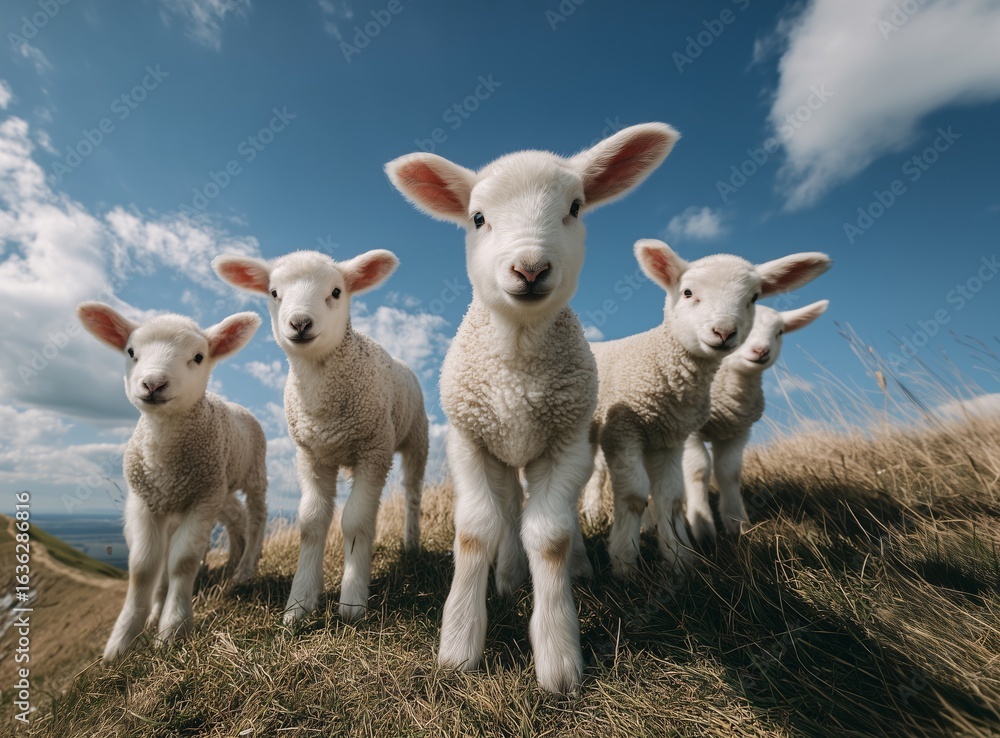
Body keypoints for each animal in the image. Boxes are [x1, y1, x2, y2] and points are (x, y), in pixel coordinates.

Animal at [76, 302, 267, 663]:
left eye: (198, 357)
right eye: (131, 352)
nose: (153, 383)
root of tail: (235, 404)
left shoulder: (201, 501)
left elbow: (181, 562)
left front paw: (172, 630)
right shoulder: (145, 502)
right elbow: (144, 567)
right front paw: (124, 639)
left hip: (253, 474)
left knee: (256, 519)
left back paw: (245, 568)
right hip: (221, 487)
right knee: (236, 518)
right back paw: (232, 563)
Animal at [212, 249, 429, 623]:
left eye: (336, 292)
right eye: (273, 292)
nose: (300, 323)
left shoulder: (374, 449)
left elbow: (355, 521)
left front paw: (352, 603)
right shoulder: (310, 454)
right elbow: (311, 523)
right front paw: (299, 604)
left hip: (416, 438)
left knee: (412, 493)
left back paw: (411, 543)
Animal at [385, 122, 679, 694]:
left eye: (576, 207)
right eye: (477, 217)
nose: (529, 268)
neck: (517, 362)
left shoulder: (564, 444)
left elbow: (551, 537)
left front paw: (559, 657)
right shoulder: (469, 440)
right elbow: (476, 529)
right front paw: (459, 645)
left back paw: (575, 568)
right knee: (508, 509)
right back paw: (507, 576)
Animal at [685, 300, 829, 542]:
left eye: (779, 332)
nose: (761, 351)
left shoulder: (738, 431)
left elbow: (730, 473)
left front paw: (738, 525)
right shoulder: (689, 430)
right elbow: (698, 470)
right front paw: (703, 530)